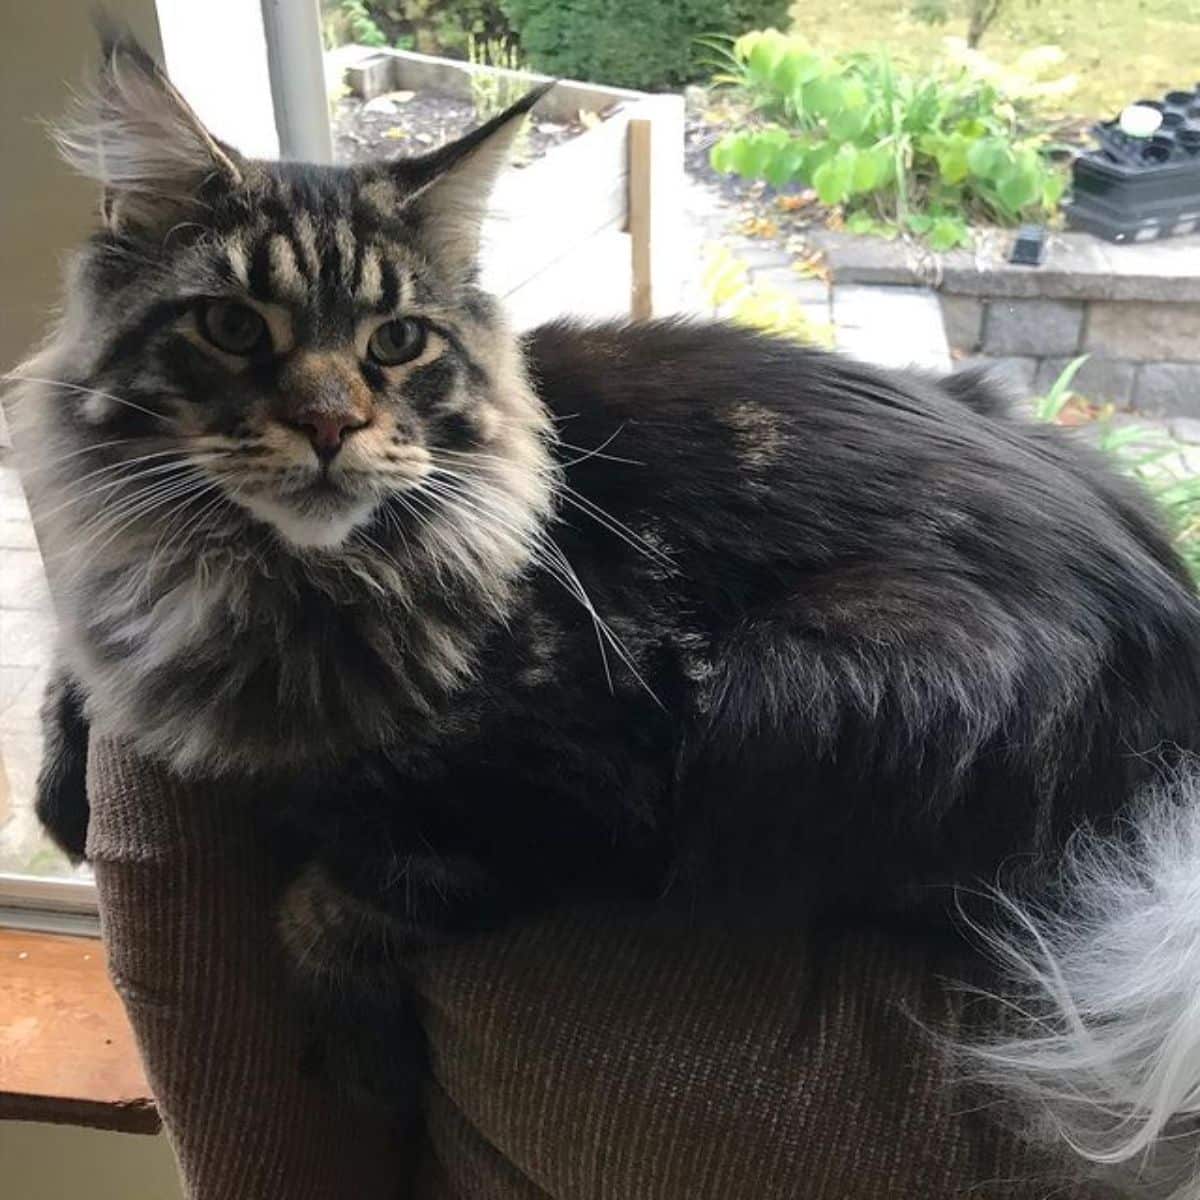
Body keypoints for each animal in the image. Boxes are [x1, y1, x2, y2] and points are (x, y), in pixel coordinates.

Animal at [14, 32, 1200, 1195]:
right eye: (230, 326)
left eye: (396, 343)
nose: (329, 426)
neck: (272, 585)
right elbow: (82, 693)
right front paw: (67, 791)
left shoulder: (586, 799)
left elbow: (328, 901)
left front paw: (362, 1058)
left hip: (798, 695)